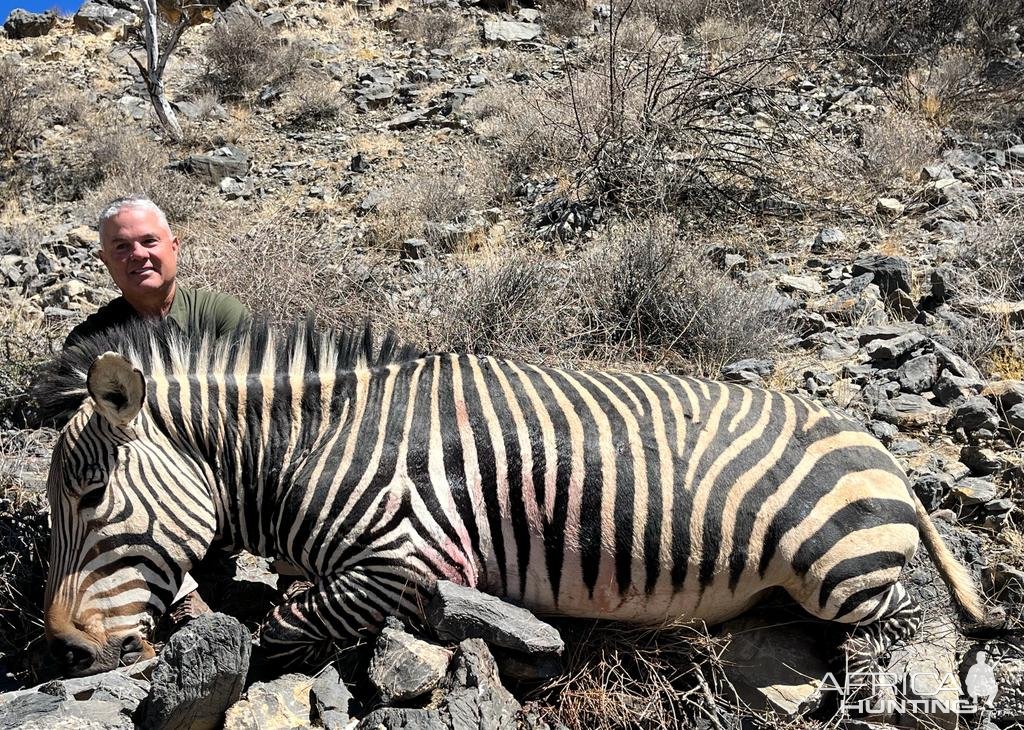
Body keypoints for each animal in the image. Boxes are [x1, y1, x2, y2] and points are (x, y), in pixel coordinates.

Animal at [36, 319, 987, 675]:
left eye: (90, 497)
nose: (67, 651)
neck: (314, 447)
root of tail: (885, 455)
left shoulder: (406, 559)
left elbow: (280, 622)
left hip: (839, 571)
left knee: (907, 620)